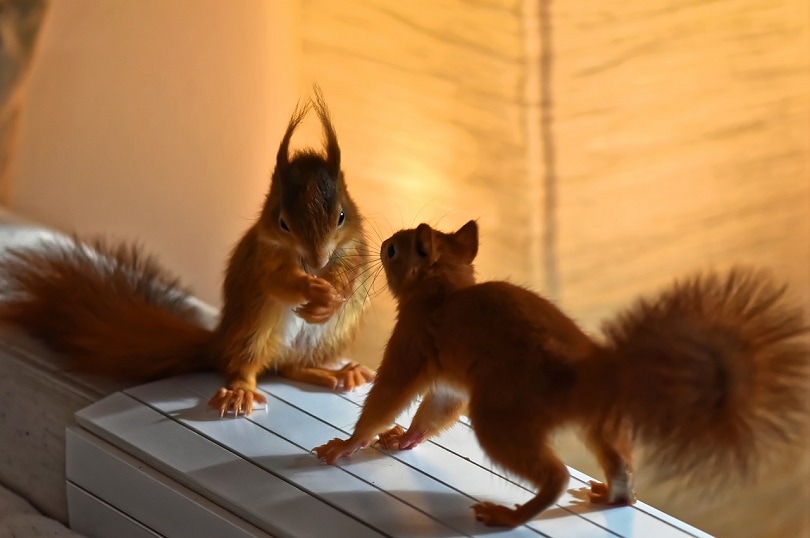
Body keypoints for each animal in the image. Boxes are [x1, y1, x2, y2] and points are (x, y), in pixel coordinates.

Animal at [0, 90, 375, 416]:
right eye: (282, 222)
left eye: (341, 216)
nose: (317, 262)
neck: (308, 263)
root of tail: (219, 342)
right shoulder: (264, 256)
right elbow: (277, 281)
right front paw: (311, 290)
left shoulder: (355, 248)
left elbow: (348, 278)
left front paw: (329, 295)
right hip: (252, 330)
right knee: (247, 366)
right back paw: (241, 390)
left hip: (328, 338)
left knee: (291, 369)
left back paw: (338, 373)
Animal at [314, 220, 810, 528]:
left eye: (394, 249)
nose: (381, 245)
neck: (445, 292)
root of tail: (592, 375)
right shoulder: (448, 382)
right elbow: (434, 412)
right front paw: (404, 439)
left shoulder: (412, 345)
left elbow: (388, 398)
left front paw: (348, 444)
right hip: (602, 425)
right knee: (622, 469)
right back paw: (610, 495)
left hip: (501, 415)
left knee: (554, 476)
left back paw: (512, 515)